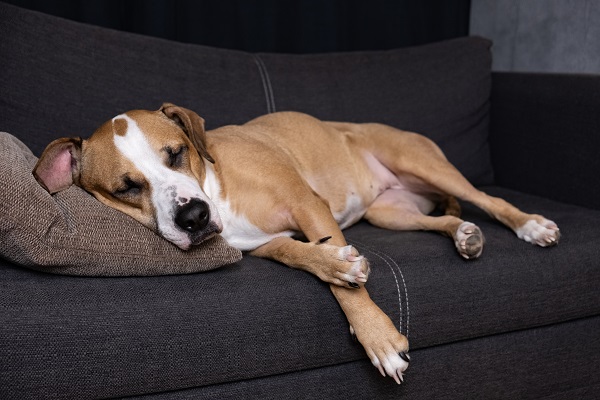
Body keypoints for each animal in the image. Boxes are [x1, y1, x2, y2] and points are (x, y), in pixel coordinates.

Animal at [32, 103, 560, 384]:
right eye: (126, 187)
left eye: (176, 154)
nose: (194, 217)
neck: (217, 186)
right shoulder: (268, 243)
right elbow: (305, 256)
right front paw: (335, 263)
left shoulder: (308, 205)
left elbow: (350, 289)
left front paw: (378, 338)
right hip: (390, 213)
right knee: (439, 219)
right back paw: (462, 234)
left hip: (424, 164)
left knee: (488, 199)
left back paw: (530, 226)